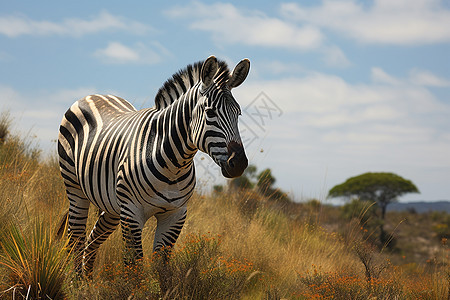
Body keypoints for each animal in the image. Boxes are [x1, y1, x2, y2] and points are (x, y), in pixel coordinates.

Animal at [56, 55, 250, 276]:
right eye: (210, 113)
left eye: (238, 114)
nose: (239, 164)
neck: (174, 165)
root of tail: (93, 95)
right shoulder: (132, 212)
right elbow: (134, 267)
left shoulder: (175, 215)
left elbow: (162, 268)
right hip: (75, 188)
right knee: (75, 238)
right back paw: (76, 280)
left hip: (112, 204)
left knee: (92, 239)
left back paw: (86, 280)